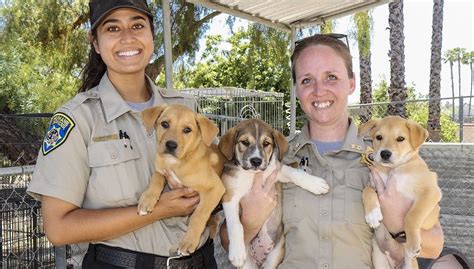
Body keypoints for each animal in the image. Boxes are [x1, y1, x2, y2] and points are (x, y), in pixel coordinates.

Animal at [138, 103, 225, 254]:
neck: (175, 162)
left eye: (187, 130)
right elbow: (155, 179)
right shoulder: (161, 170)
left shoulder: (216, 188)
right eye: (165, 124)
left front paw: (189, 241)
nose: (171, 145)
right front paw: (147, 200)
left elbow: (199, 214)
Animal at [218, 119, 330, 268]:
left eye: (266, 143)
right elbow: (235, 224)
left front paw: (316, 183)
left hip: (275, 256)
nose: (256, 161)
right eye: (245, 142)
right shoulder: (229, 196)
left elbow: (295, 172)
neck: (252, 175)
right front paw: (236, 252)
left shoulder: (276, 171)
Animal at [360, 115, 440, 268]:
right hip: (379, 261)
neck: (392, 169)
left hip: (410, 263)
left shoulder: (431, 191)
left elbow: (412, 215)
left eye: (400, 138)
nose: (385, 153)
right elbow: (366, 191)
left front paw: (413, 243)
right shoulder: (373, 183)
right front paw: (372, 215)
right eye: (379, 137)